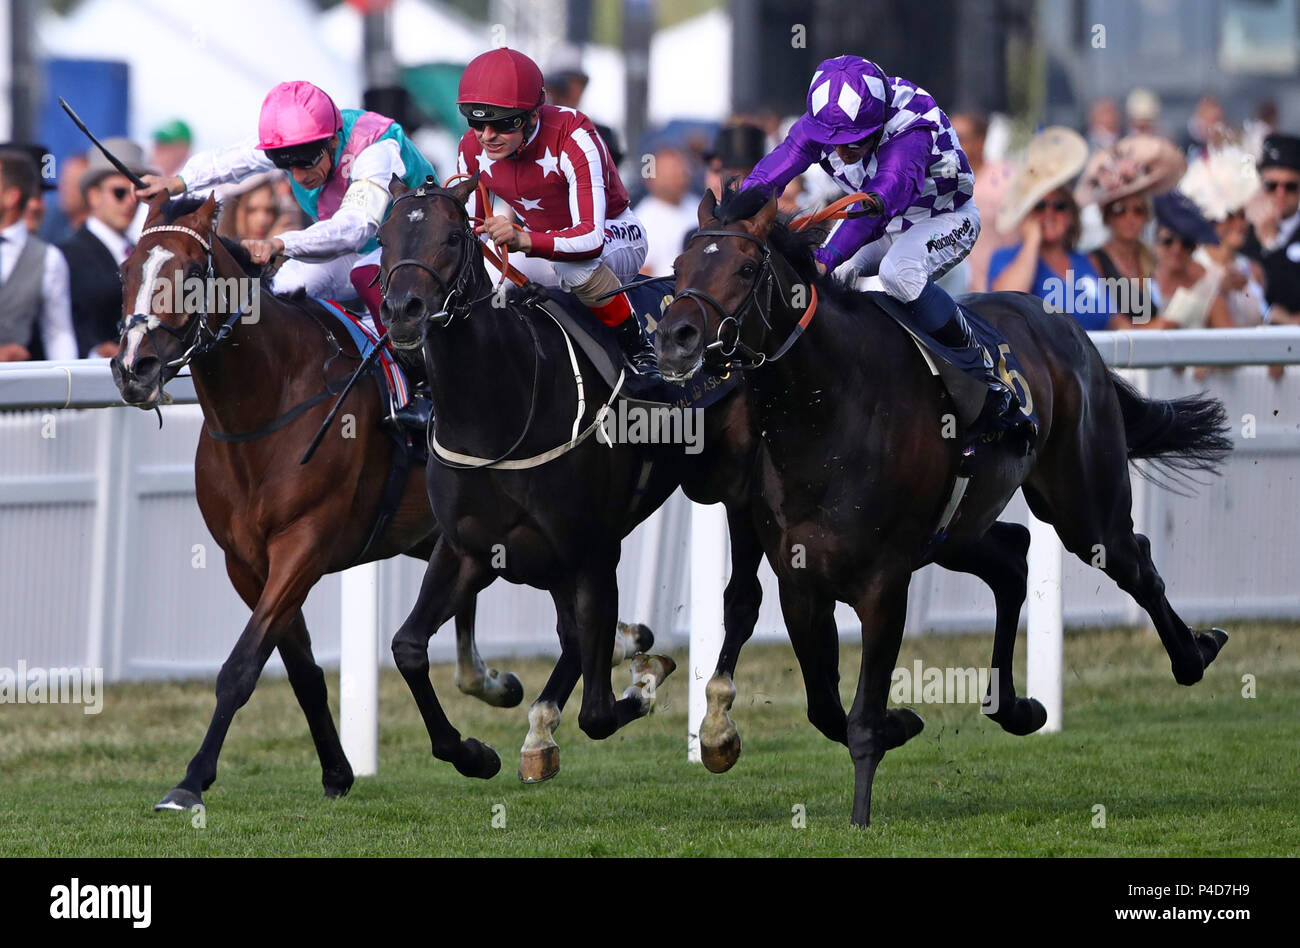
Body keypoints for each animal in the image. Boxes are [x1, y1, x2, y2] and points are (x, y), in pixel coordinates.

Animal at [106, 192, 530, 806]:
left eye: (190, 275)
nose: (132, 368)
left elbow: (241, 666)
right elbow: (299, 669)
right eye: (126, 272)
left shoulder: (303, 544)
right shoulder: (246, 562)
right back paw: (494, 685)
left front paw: (189, 781)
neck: (267, 409)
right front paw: (337, 771)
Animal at [377, 174, 769, 780]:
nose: (403, 311)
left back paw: (715, 727)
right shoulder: (469, 548)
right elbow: (409, 648)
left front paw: (646, 678)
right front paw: (471, 753)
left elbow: (600, 711)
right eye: (383, 237)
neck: (499, 415)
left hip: (739, 492)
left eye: (451, 237)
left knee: (741, 599)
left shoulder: (591, 551)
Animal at [655, 189, 1232, 821]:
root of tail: (1065, 325)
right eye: (678, 268)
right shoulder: (801, 579)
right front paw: (898, 723)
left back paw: (1195, 653)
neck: (826, 409)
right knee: (1013, 557)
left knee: (1135, 561)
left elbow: (857, 717)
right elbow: (824, 706)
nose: (675, 338)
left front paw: (860, 815)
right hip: (956, 530)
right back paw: (1017, 708)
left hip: (1083, 504)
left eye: (744, 268)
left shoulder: (884, 582)